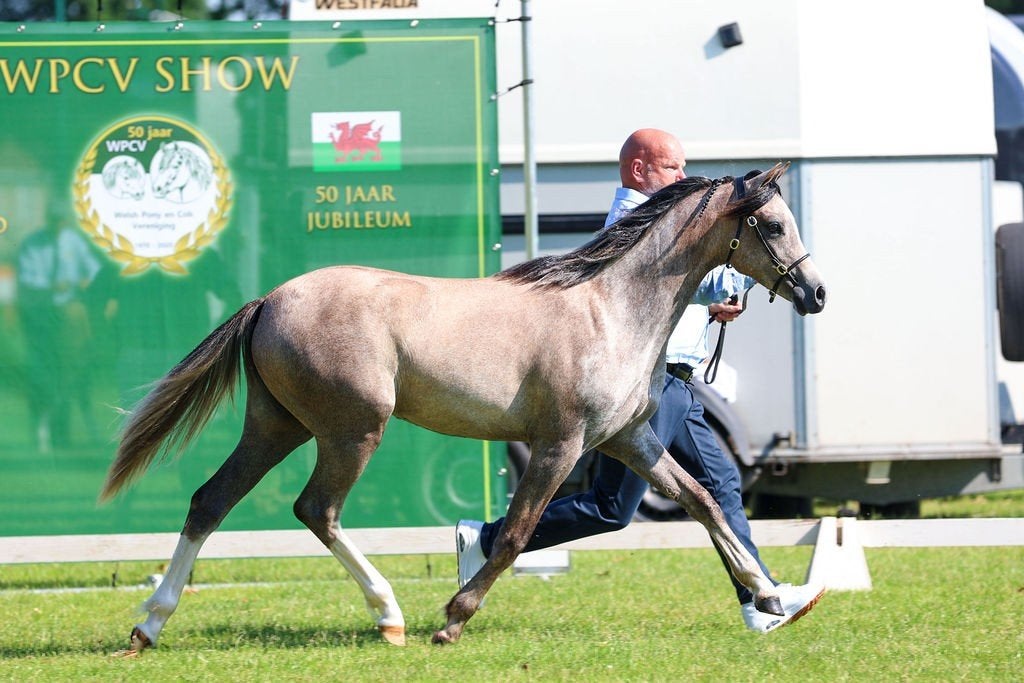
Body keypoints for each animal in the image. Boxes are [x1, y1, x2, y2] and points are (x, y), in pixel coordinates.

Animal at [99, 163, 826, 651]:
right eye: (773, 224)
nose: (816, 293)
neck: (612, 310)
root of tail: (268, 302)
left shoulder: (629, 440)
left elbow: (704, 500)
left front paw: (770, 595)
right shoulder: (561, 443)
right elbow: (516, 532)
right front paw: (453, 618)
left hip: (277, 425)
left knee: (210, 500)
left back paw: (148, 624)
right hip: (351, 429)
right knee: (316, 509)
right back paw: (389, 614)